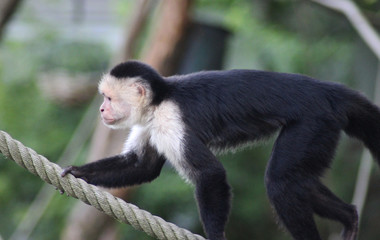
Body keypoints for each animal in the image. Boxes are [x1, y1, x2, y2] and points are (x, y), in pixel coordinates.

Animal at [62, 60, 380, 240]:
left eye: (109, 98)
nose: (102, 109)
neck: (160, 99)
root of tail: (327, 90)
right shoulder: (149, 124)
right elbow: (142, 165)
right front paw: (78, 173)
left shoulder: (170, 120)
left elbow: (210, 174)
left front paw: (215, 236)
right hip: (323, 127)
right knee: (298, 181)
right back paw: (350, 217)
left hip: (313, 121)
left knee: (281, 183)